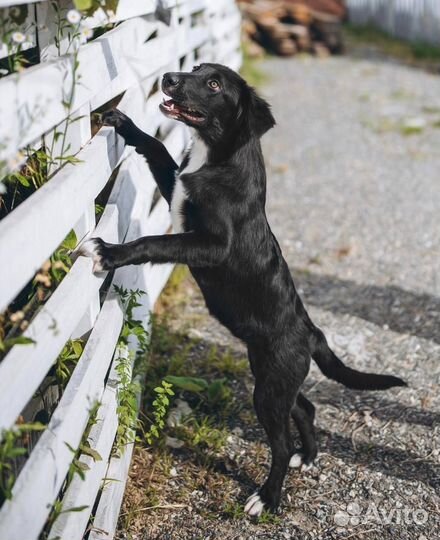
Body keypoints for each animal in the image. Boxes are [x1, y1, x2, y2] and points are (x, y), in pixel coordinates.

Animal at [79, 62, 406, 516]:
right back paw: (309, 455)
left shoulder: (210, 245)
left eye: (214, 84)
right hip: (274, 376)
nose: (168, 78)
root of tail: (311, 332)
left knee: (280, 443)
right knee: (305, 407)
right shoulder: (176, 190)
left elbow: (152, 242)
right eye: (195, 69)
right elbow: (159, 150)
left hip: (269, 389)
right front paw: (127, 124)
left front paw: (109, 252)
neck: (218, 157)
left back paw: (267, 498)